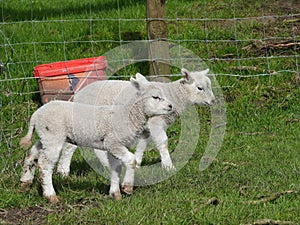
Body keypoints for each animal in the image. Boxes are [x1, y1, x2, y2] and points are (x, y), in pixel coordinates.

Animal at [19, 76, 172, 204]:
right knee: (45, 164)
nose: (171, 106)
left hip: (45, 136)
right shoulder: (113, 142)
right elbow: (132, 161)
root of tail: (36, 115)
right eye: (155, 97)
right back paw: (50, 196)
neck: (128, 116)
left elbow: (116, 168)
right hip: (53, 135)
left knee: (32, 154)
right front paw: (127, 187)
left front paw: (115, 194)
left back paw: (25, 183)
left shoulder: (113, 146)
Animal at [56, 67, 216, 178]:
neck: (175, 96)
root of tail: (78, 94)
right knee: (70, 146)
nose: (213, 101)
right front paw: (169, 167)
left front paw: (137, 163)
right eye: (200, 88)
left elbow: (143, 144)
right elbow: (163, 142)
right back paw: (63, 171)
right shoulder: (156, 122)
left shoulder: (145, 126)